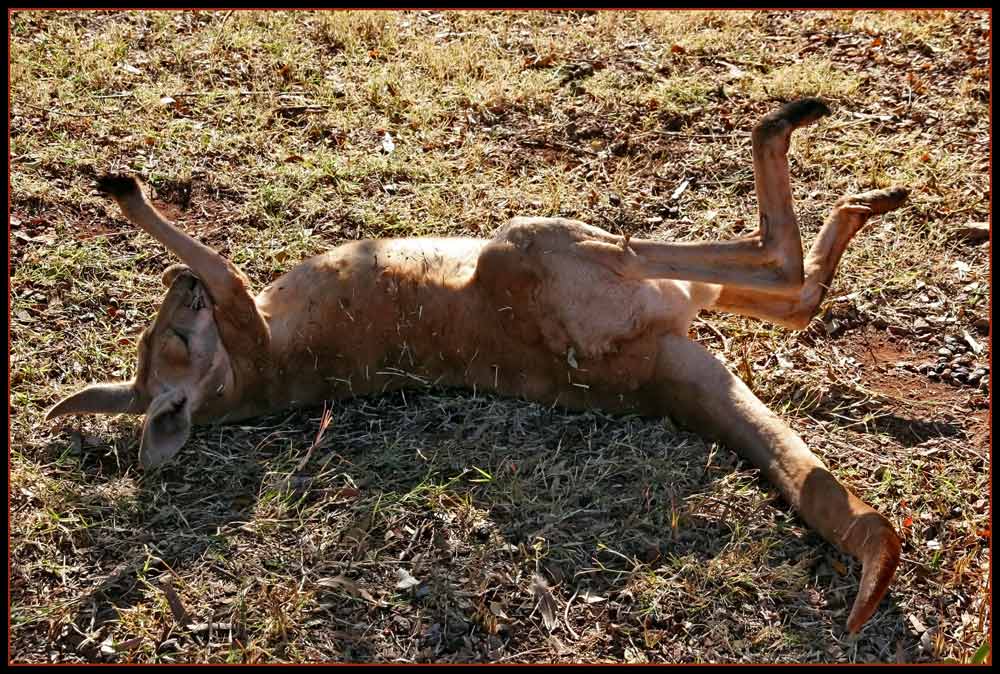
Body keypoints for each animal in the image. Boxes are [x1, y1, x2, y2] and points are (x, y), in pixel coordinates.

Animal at [45, 98, 908, 632]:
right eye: (176, 342)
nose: (177, 286)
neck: (233, 382)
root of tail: (640, 380)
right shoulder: (245, 326)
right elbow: (221, 269)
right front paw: (130, 197)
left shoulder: (244, 330)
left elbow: (218, 269)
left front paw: (150, 226)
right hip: (547, 250)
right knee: (781, 269)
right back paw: (791, 134)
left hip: (600, 271)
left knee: (795, 293)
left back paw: (860, 205)